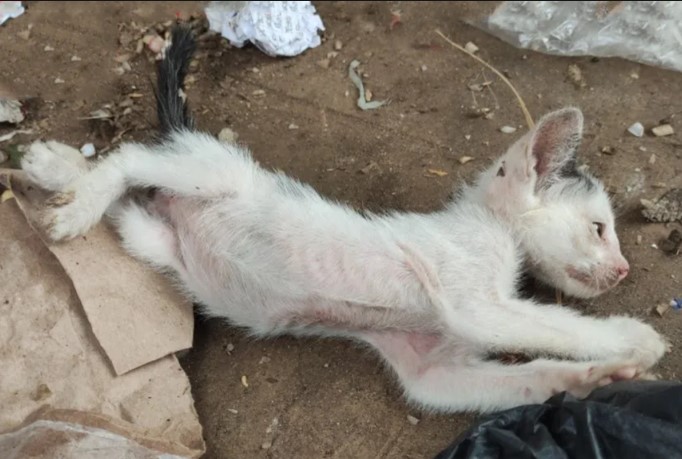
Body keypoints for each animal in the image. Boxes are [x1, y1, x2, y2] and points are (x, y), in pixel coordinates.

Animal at [21, 26, 664, 414]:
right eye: (599, 228)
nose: (624, 270)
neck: (490, 224)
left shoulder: (427, 365)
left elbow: (514, 377)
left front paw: (595, 380)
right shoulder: (472, 300)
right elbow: (558, 326)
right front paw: (635, 340)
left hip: (155, 239)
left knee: (132, 199)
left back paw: (50, 171)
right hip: (214, 172)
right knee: (132, 157)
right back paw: (71, 203)